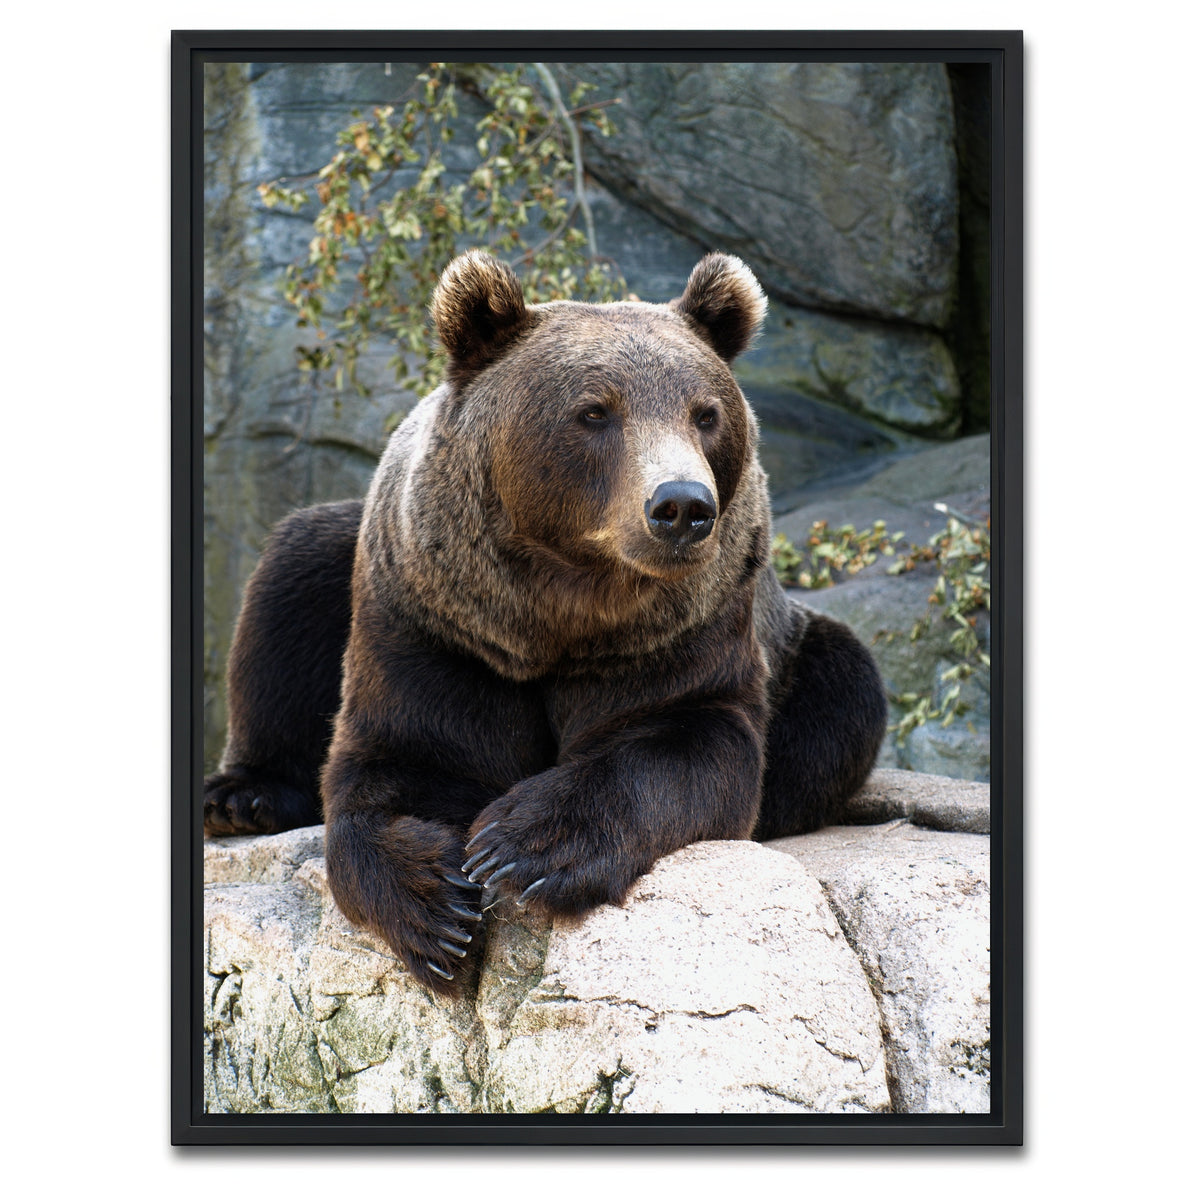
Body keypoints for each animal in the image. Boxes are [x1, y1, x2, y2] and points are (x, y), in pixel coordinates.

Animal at [204, 250, 887, 995]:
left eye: (705, 414)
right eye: (594, 411)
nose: (681, 505)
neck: (557, 613)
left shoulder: (680, 632)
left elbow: (689, 743)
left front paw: (524, 846)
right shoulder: (435, 625)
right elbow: (400, 759)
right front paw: (435, 907)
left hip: (796, 649)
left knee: (843, 693)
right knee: (292, 575)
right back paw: (243, 796)